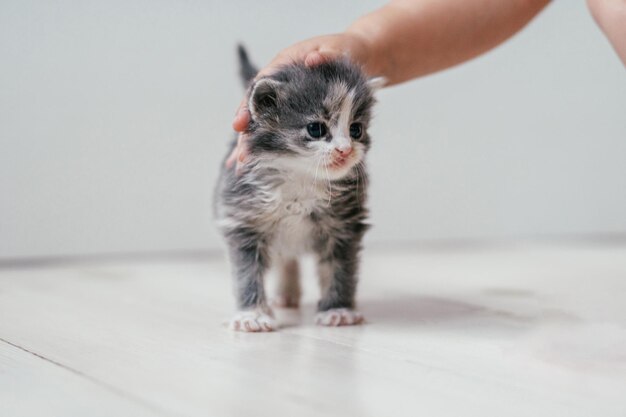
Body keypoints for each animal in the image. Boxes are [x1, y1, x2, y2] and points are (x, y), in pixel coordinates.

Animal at [214, 45, 380, 332]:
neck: (301, 176)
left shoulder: (344, 225)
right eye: (316, 129)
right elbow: (247, 274)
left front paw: (338, 310)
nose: (345, 150)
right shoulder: (243, 221)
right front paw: (252, 315)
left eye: (356, 130)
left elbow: (340, 270)